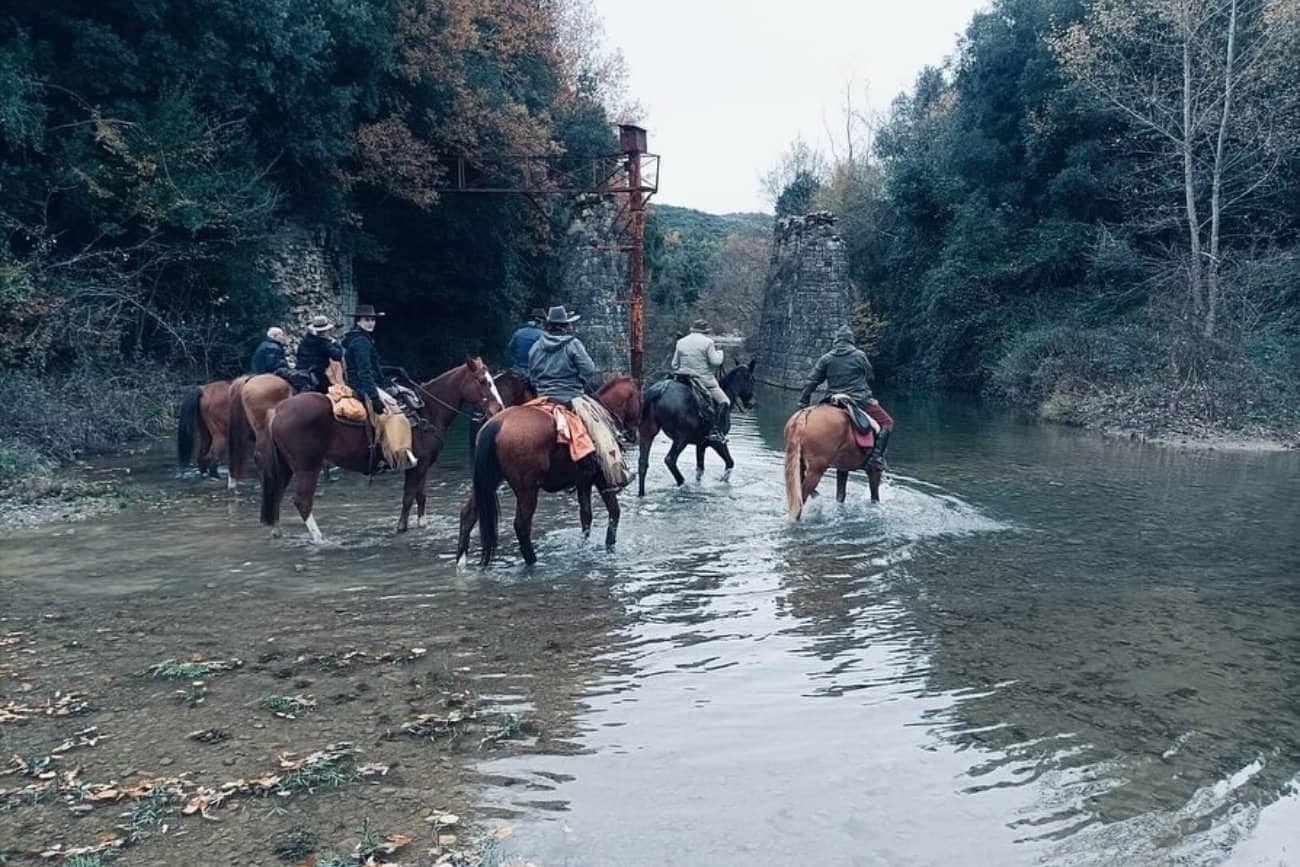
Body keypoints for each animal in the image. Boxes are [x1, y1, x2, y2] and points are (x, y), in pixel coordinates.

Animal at [261, 356, 504, 538]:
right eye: (482, 381)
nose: (499, 409)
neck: (426, 411)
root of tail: (279, 410)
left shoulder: (424, 465)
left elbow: (421, 496)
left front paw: (422, 525)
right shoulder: (417, 465)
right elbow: (409, 496)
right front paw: (401, 527)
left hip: (286, 467)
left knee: (277, 495)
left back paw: (277, 532)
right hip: (307, 467)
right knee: (302, 501)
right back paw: (319, 539)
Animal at [457, 376, 639, 566]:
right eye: (638, 398)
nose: (634, 434)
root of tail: (496, 425)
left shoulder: (584, 481)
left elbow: (586, 516)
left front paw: (584, 546)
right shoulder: (600, 478)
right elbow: (614, 512)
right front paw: (609, 545)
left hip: (488, 481)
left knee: (468, 514)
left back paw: (461, 562)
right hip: (527, 490)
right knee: (521, 526)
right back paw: (532, 561)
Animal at [637, 358, 759, 493]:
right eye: (752, 380)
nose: (752, 403)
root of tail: (659, 391)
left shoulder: (701, 444)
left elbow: (700, 470)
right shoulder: (717, 442)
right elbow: (730, 463)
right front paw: (722, 481)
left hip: (647, 432)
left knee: (643, 463)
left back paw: (642, 493)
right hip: (681, 438)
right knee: (670, 460)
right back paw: (682, 483)